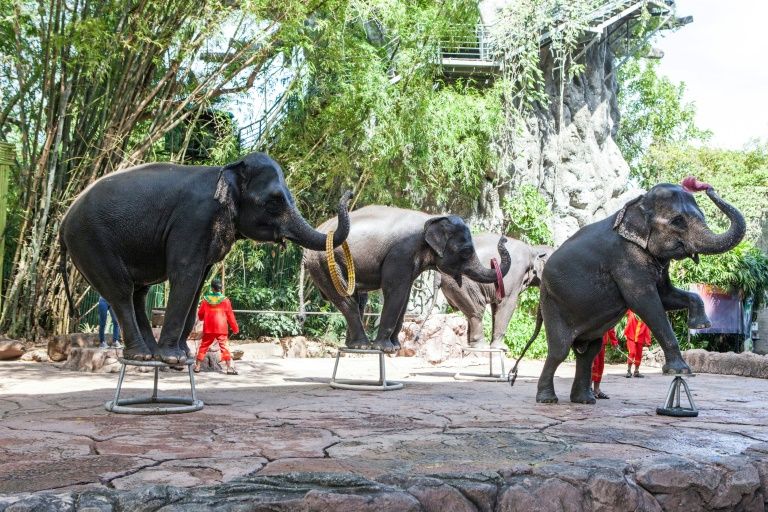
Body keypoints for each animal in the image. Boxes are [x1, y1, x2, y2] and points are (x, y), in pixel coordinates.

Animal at [60, 152, 352, 364]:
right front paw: (174, 358)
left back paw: (150, 352)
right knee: (120, 291)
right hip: (91, 242)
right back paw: (143, 355)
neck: (226, 170)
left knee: (137, 293)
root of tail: (63, 222)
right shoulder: (194, 219)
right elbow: (185, 273)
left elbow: (199, 281)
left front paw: (183, 354)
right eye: (273, 202)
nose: (348, 193)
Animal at [304, 206, 512, 354]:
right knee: (345, 300)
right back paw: (362, 346)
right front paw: (386, 349)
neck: (432, 217)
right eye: (466, 252)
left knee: (356, 299)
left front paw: (396, 347)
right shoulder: (401, 252)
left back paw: (353, 345)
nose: (504, 239)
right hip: (323, 262)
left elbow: (404, 297)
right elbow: (395, 290)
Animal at [528, 182, 744, 406]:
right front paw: (680, 370)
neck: (638, 204)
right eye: (678, 221)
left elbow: (666, 296)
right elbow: (645, 301)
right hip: (553, 303)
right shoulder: (625, 259)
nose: (708, 188)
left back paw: (585, 400)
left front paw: (701, 325)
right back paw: (547, 400)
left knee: (589, 352)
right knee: (559, 351)